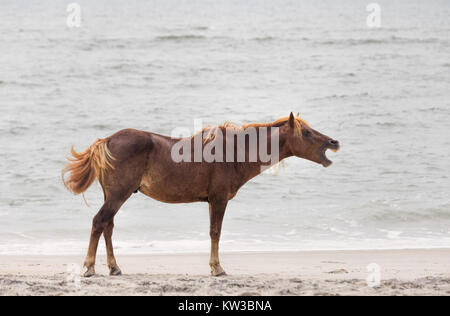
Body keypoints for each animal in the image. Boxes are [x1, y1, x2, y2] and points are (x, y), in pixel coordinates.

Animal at [61, 112, 340, 278]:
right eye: (307, 133)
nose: (334, 142)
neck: (234, 152)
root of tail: (106, 141)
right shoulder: (218, 199)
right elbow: (215, 232)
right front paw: (217, 268)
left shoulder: (211, 201)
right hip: (118, 195)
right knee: (99, 222)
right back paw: (89, 267)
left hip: (114, 196)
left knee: (107, 226)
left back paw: (114, 267)